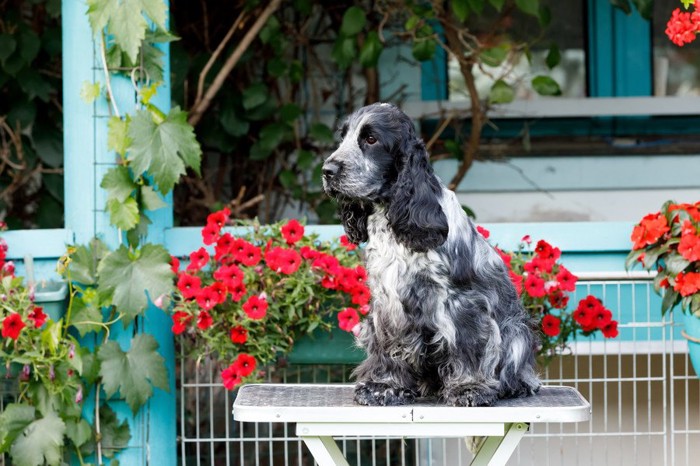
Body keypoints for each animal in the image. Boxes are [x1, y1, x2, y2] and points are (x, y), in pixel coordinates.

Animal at [320, 102, 540, 408]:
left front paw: (469, 388)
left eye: (371, 139)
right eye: (343, 138)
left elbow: (468, 344)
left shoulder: (461, 302)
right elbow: (387, 348)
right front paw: (383, 386)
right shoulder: (387, 303)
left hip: (516, 331)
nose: (327, 170)